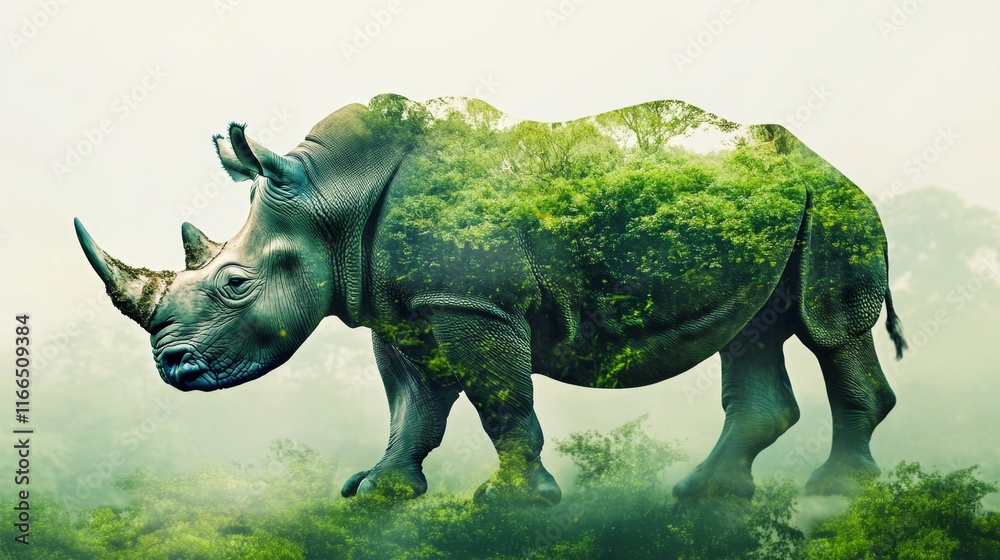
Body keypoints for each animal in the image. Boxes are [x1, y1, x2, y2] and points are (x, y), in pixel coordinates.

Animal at [75, 95, 906, 504]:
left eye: (236, 283)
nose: (174, 368)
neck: (329, 200)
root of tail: (822, 161)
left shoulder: (470, 305)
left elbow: (500, 400)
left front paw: (513, 503)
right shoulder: (402, 309)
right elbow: (412, 405)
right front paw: (377, 492)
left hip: (834, 202)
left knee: (828, 328)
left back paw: (838, 495)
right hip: (781, 209)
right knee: (755, 331)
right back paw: (707, 497)